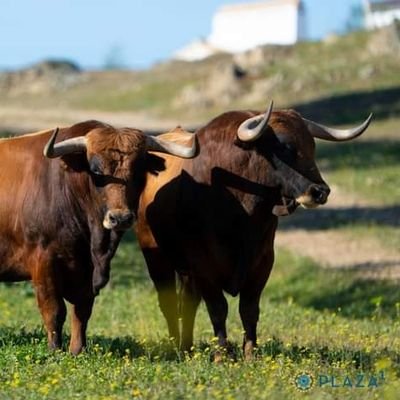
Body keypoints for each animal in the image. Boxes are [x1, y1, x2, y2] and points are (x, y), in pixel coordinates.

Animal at [0, 120, 195, 354]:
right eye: (96, 171)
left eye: (139, 171)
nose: (120, 218)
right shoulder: (43, 262)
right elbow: (54, 310)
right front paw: (55, 350)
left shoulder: (87, 271)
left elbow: (82, 311)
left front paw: (77, 350)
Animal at [135, 103, 372, 360]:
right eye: (285, 147)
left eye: (312, 145)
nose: (320, 191)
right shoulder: (204, 265)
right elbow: (218, 308)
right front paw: (223, 354)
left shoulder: (262, 262)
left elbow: (248, 309)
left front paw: (250, 352)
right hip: (157, 259)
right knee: (168, 302)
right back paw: (175, 347)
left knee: (188, 302)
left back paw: (186, 348)